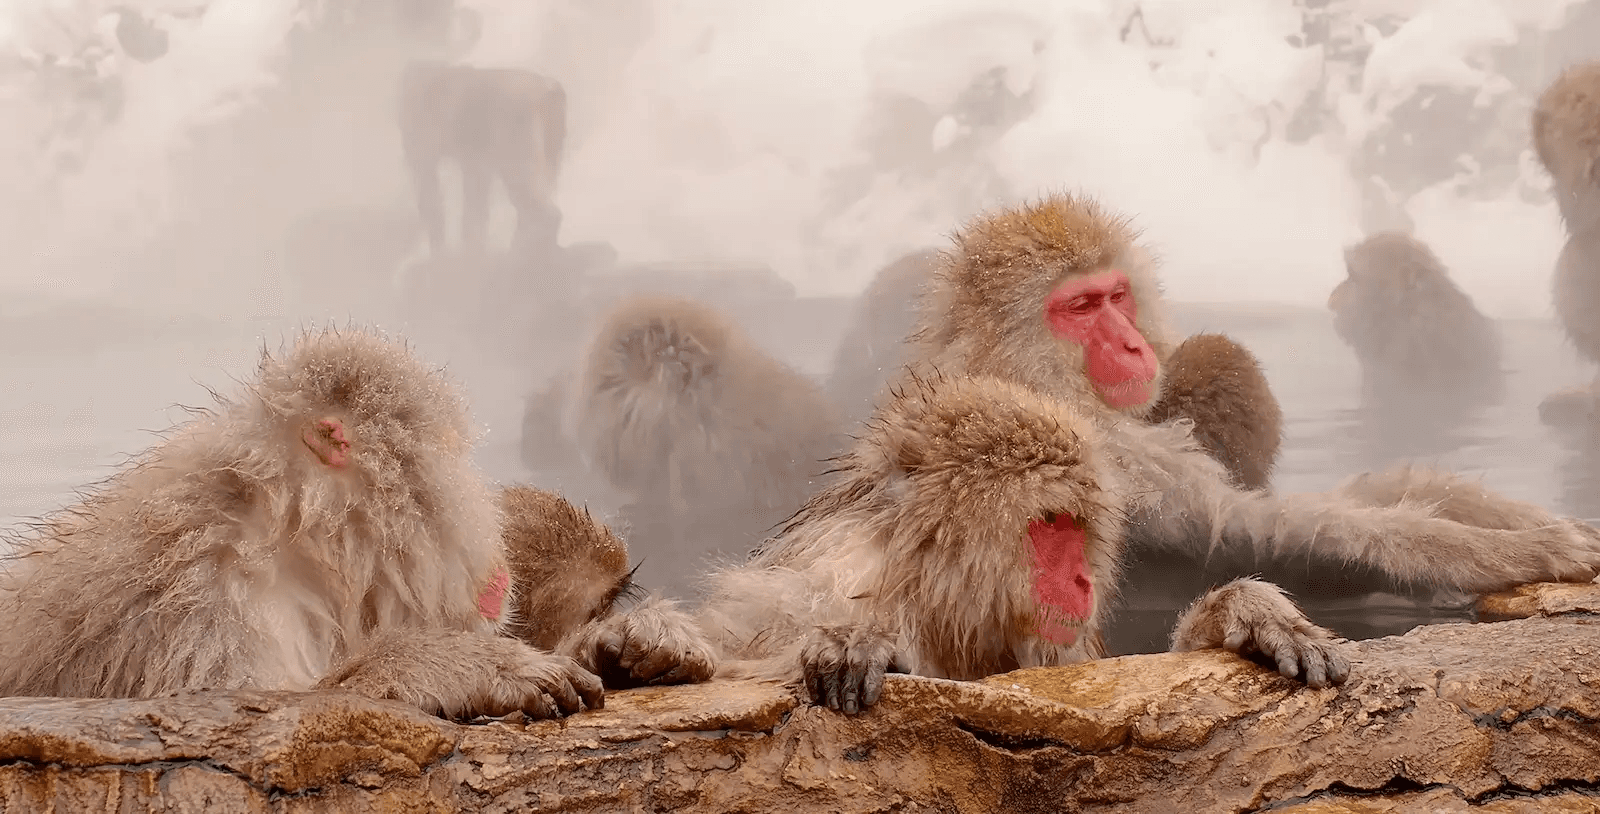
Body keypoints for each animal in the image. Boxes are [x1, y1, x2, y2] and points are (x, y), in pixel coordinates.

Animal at [398, 60, 567, 262]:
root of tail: (549, 88)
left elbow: (431, 188)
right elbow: (475, 194)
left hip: (516, 131)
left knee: (529, 192)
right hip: (550, 134)